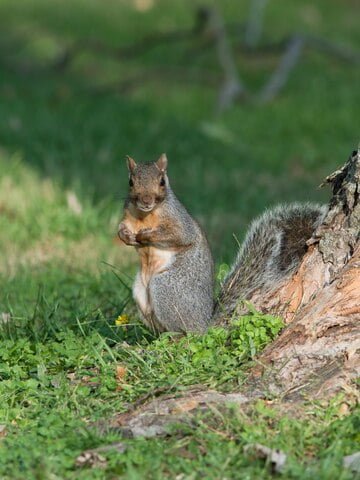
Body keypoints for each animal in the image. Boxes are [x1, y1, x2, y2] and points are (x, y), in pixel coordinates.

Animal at [119, 154, 328, 334]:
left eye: (162, 181)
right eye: (130, 182)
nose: (146, 201)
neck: (145, 215)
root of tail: (204, 323)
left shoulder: (179, 221)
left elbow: (178, 236)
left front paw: (146, 235)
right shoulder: (128, 214)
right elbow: (121, 228)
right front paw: (124, 236)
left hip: (166, 286)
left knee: (186, 333)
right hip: (140, 292)